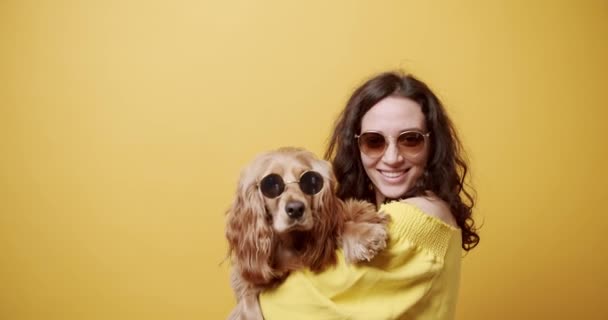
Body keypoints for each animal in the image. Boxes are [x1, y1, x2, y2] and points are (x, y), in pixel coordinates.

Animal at [224, 146, 390, 318]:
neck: (290, 243)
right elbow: (248, 304)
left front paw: (364, 233)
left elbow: (339, 226)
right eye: (272, 185)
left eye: (311, 182)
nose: (296, 209)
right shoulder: (245, 283)